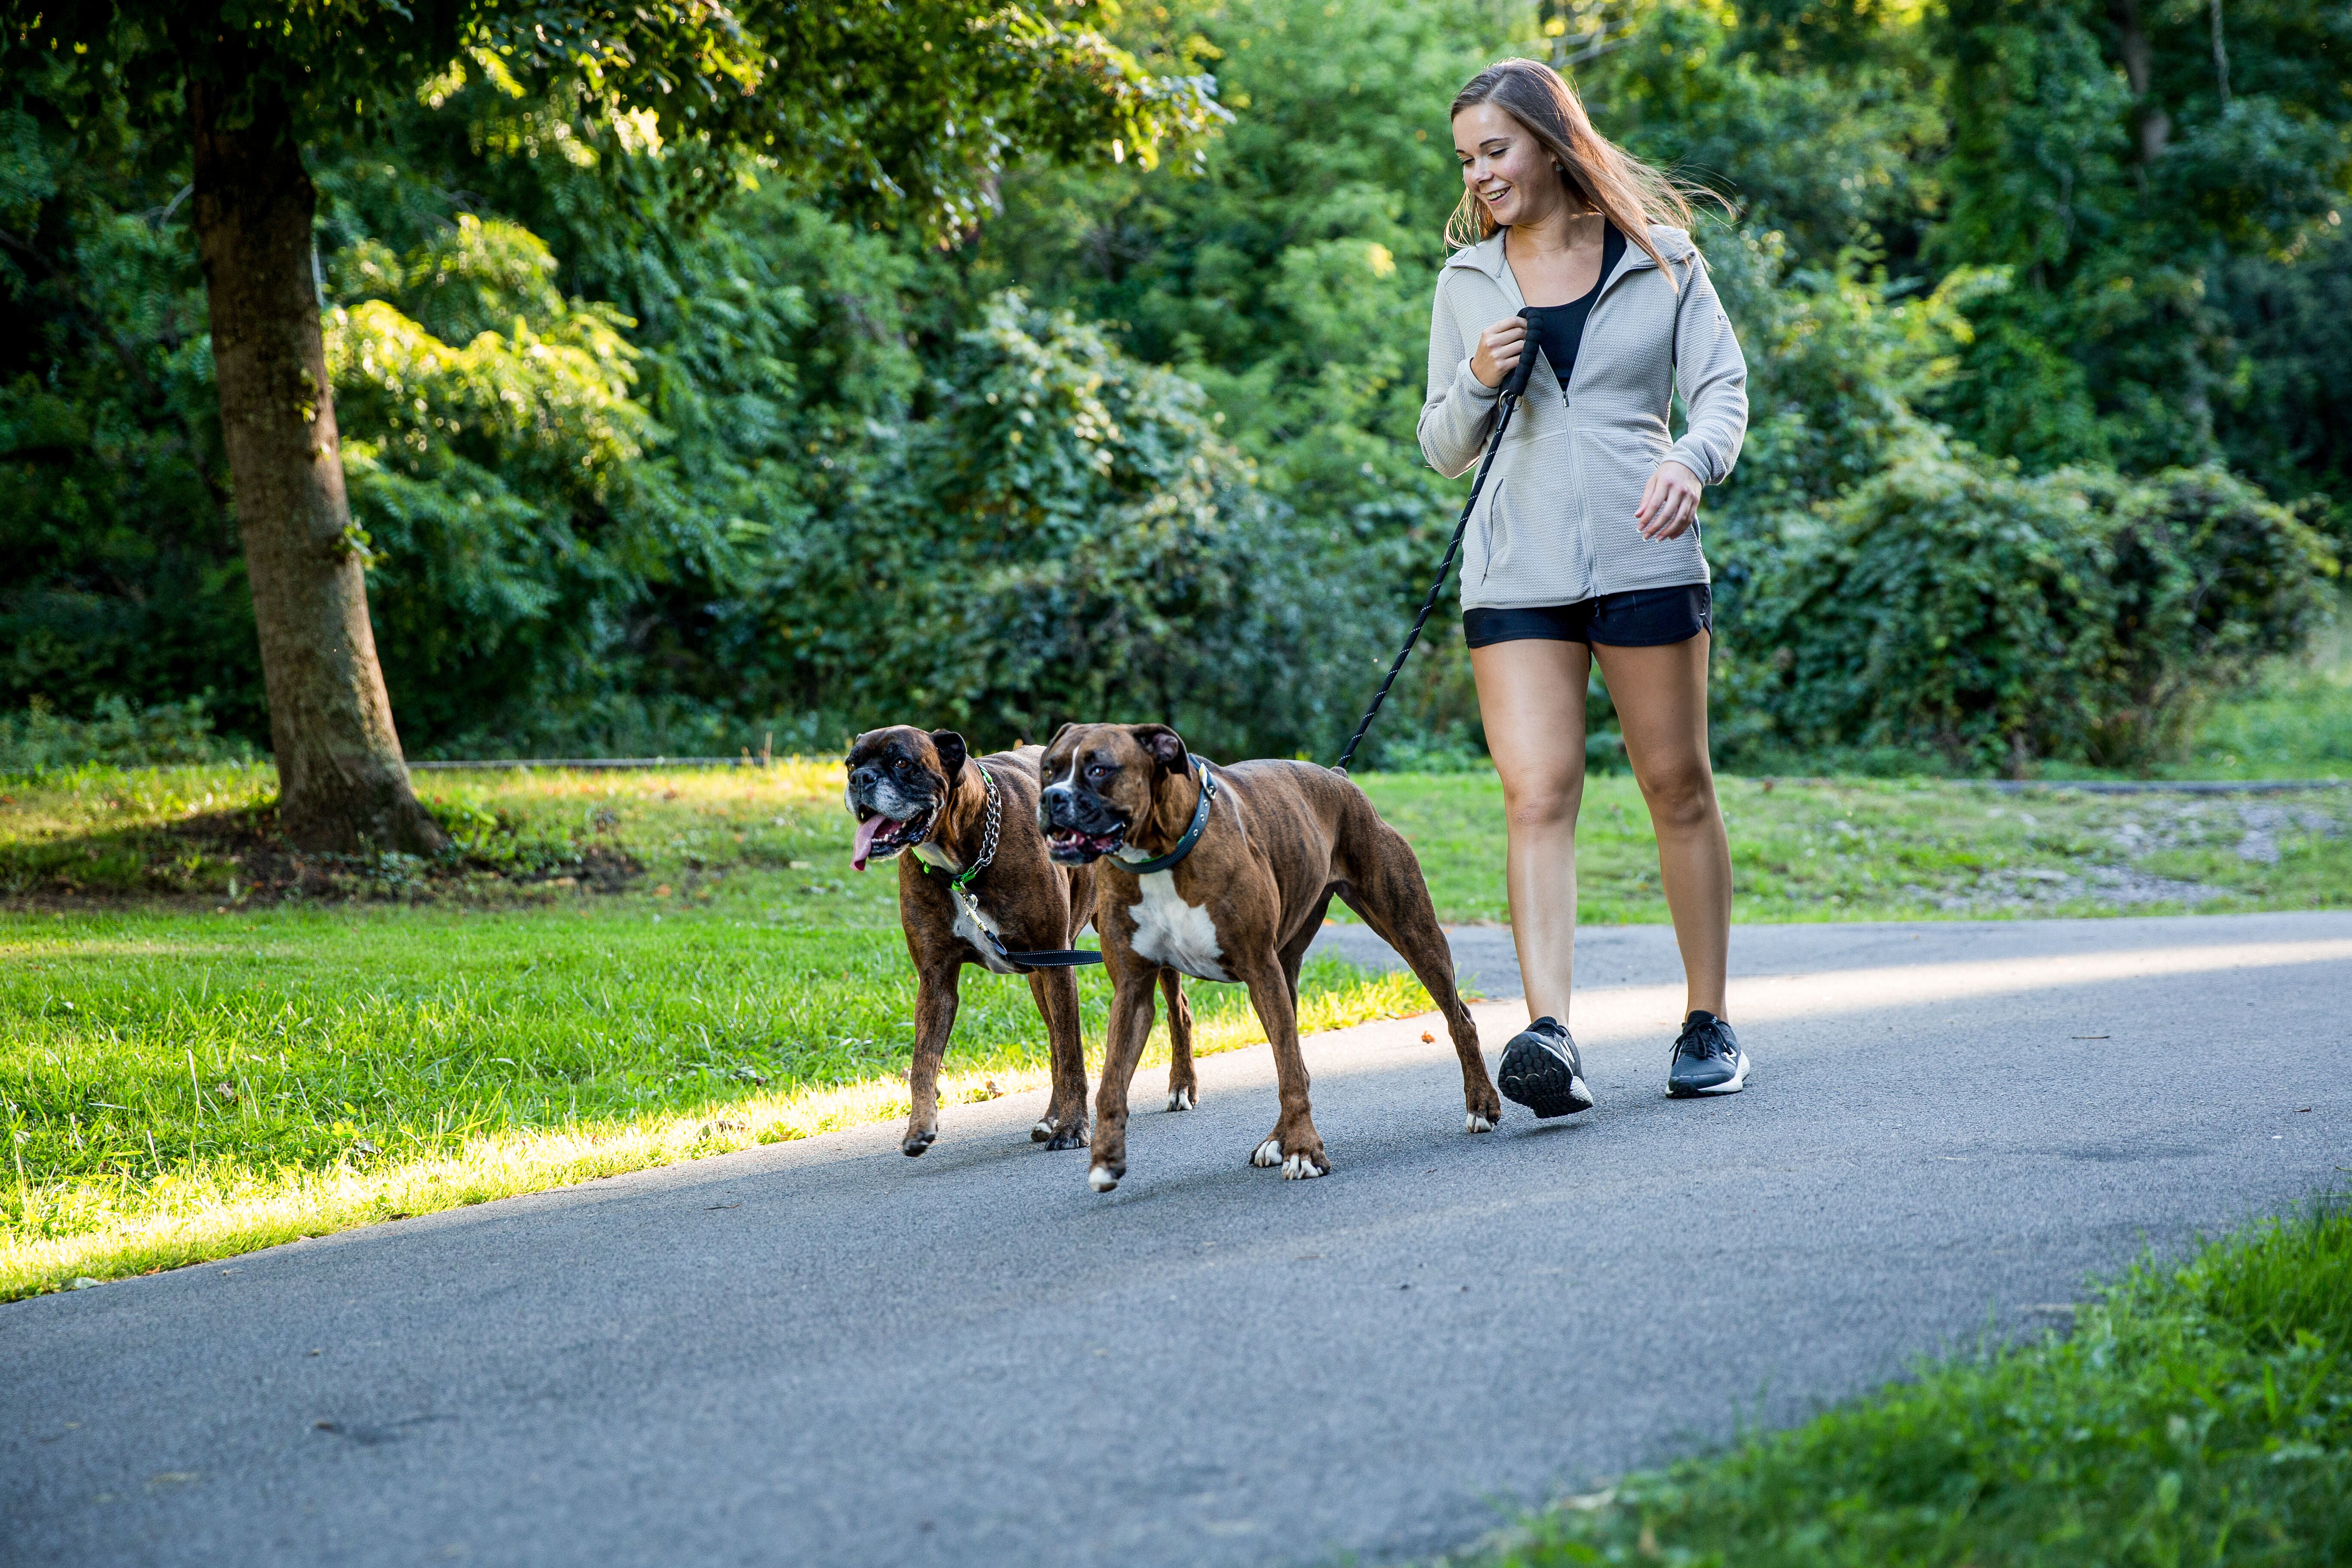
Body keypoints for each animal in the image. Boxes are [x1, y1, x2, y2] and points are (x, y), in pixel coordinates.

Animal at [842, 729, 1194, 1161]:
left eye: (902, 763)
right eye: (852, 764)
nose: (860, 780)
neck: (964, 860)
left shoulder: (1059, 964)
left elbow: (1073, 1055)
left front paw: (1074, 1128)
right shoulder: (937, 980)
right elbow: (924, 1060)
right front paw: (919, 1126)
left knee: (1178, 1010)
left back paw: (1181, 1087)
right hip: (1039, 975)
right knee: (1055, 1040)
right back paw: (1050, 1117)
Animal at [1039, 724, 1496, 1189]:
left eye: (1099, 770)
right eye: (1048, 769)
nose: (1051, 798)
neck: (1162, 855)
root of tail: (1340, 777)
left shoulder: (1260, 969)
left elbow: (1289, 1075)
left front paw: (1305, 1152)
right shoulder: (1133, 991)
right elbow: (1112, 1081)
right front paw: (1106, 1157)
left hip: (1410, 930)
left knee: (1459, 1019)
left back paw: (1481, 1104)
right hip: (1287, 967)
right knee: (1293, 1054)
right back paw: (1276, 1140)